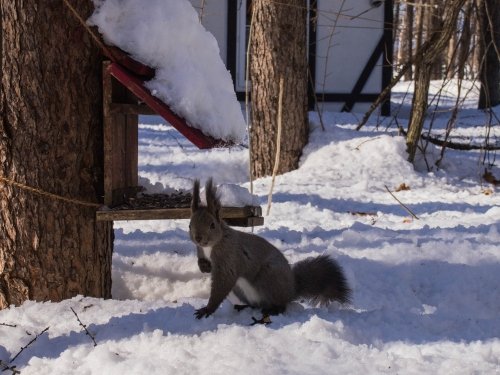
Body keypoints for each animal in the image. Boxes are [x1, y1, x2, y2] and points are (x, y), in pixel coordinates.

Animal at [188, 179, 352, 320]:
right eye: (190, 225)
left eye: (212, 225)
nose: (198, 238)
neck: (212, 245)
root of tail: (291, 289)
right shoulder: (201, 250)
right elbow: (203, 263)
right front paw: (204, 266)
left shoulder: (228, 257)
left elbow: (222, 283)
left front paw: (207, 309)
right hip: (240, 289)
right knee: (256, 304)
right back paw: (244, 307)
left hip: (269, 277)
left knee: (281, 304)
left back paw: (274, 310)